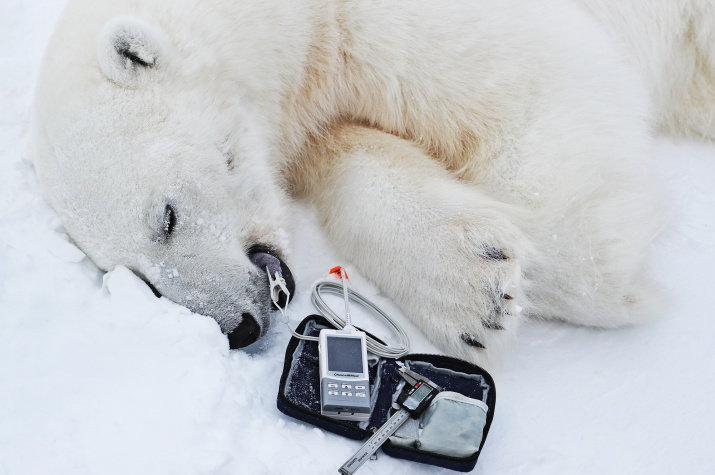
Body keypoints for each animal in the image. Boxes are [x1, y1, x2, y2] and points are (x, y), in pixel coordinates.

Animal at [30, 0, 712, 368]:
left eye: (166, 217)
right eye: (135, 279)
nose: (239, 326)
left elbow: (546, 87)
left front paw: (607, 288)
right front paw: (473, 291)